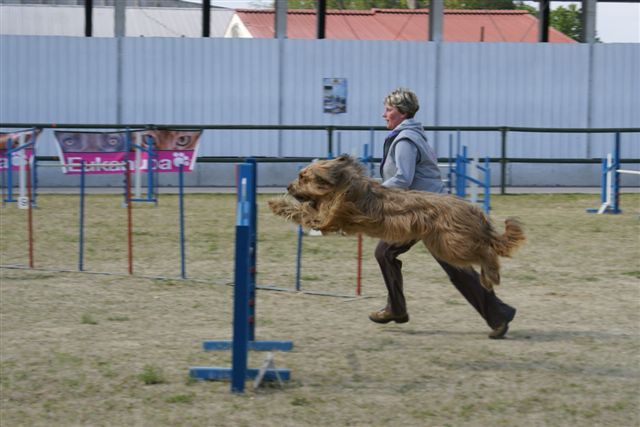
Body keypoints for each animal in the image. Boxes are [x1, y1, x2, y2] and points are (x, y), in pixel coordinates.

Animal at [268, 155, 524, 290]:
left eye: (303, 177)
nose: (288, 187)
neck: (342, 186)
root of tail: (474, 210)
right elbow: (304, 210)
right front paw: (277, 202)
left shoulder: (330, 218)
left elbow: (306, 213)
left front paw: (276, 203)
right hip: (443, 244)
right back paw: (487, 280)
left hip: (453, 243)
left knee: (486, 251)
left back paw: (491, 276)